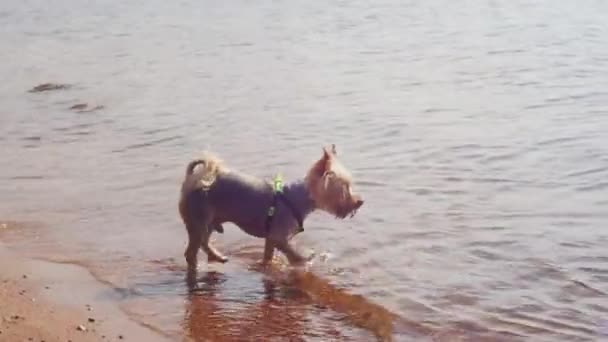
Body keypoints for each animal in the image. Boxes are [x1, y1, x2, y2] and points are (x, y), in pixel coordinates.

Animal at [178, 144, 364, 270]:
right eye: (344, 188)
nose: (360, 201)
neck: (297, 198)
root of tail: (192, 181)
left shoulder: (271, 239)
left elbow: (268, 256)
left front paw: (268, 265)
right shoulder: (278, 237)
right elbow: (293, 253)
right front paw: (305, 261)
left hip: (208, 223)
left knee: (203, 243)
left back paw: (217, 257)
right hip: (198, 221)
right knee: (191, 252)